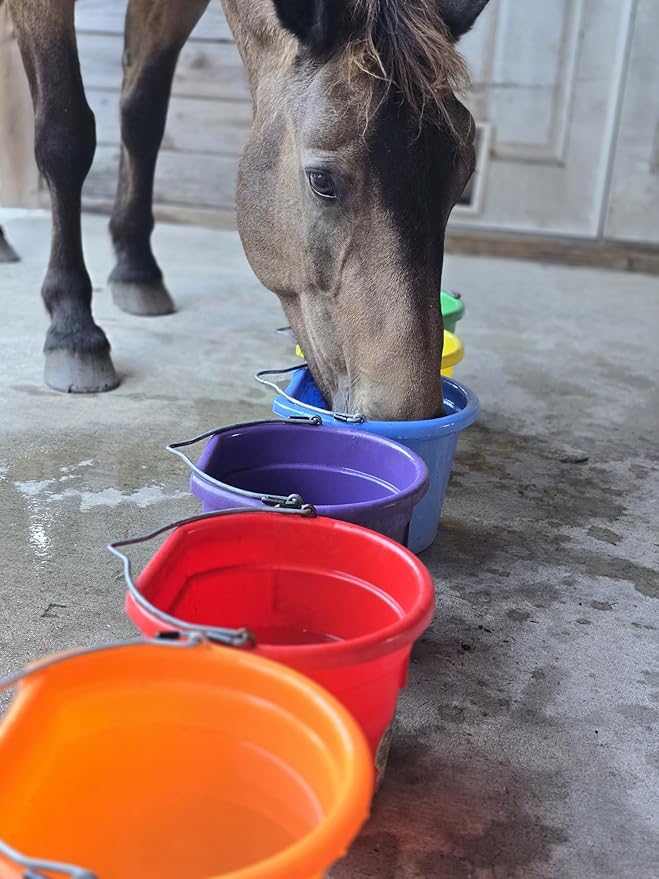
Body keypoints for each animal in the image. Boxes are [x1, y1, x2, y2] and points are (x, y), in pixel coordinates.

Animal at [5, 0, 489, 419]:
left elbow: (141, 117)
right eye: (322, 181)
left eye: (463, 174)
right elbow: (65, 135)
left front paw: (136, 270)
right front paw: (73, 329)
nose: (407, 408)